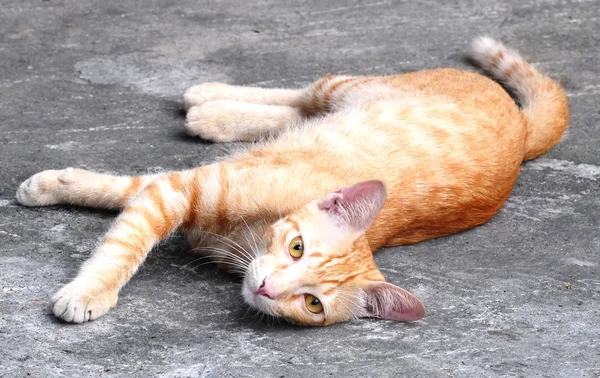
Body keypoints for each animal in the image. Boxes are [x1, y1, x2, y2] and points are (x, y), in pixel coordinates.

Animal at [14, 37, 568, 324]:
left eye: (312, 303)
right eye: (297, 247)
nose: (267, 286)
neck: (247, 236)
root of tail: (522, 132)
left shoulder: (178, 189)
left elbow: (128, 194)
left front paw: (57, 188)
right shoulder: (184, 189)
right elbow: (123, 239)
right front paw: (89, 288)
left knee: (298, 111)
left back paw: (212, 114)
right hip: (346, 87)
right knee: (303, 94)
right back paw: (207, 97)